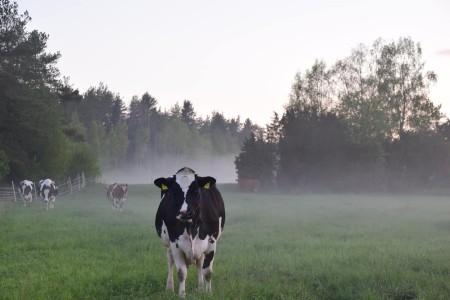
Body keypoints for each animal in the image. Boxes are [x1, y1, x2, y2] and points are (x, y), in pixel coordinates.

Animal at [154, 166, 225, 298]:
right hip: (168, 244)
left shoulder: (211, 242)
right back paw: (169, 288)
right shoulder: (175, 243)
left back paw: (200, 287)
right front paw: (182, 295)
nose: (184, 213)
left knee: (200, 264)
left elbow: (207, 271)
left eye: (196, 191)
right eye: (174, 192)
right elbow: (181, 272)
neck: (191, 227)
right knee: (170, 261)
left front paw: (208, 293)